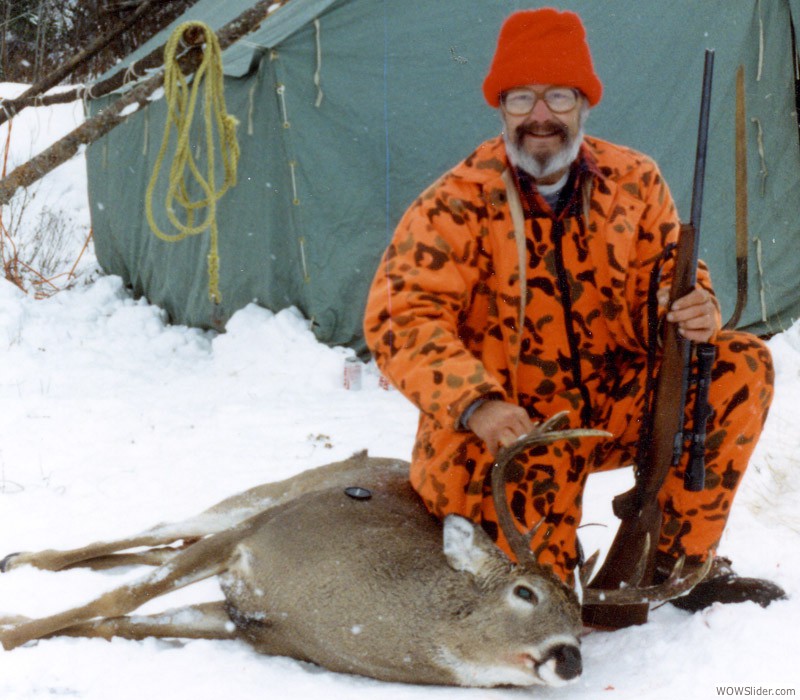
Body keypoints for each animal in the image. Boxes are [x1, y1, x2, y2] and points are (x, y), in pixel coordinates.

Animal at [0, 412, 708, 688]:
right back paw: (24, 559)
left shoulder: (249, 623)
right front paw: (10, 632)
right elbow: (112, 604)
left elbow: (116, 624)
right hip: (263, 497)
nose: (570, 660)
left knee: (156, 547)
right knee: (155, 532)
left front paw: (21, 621)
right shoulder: (255, 537)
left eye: (583, 625)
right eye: (524, 591)